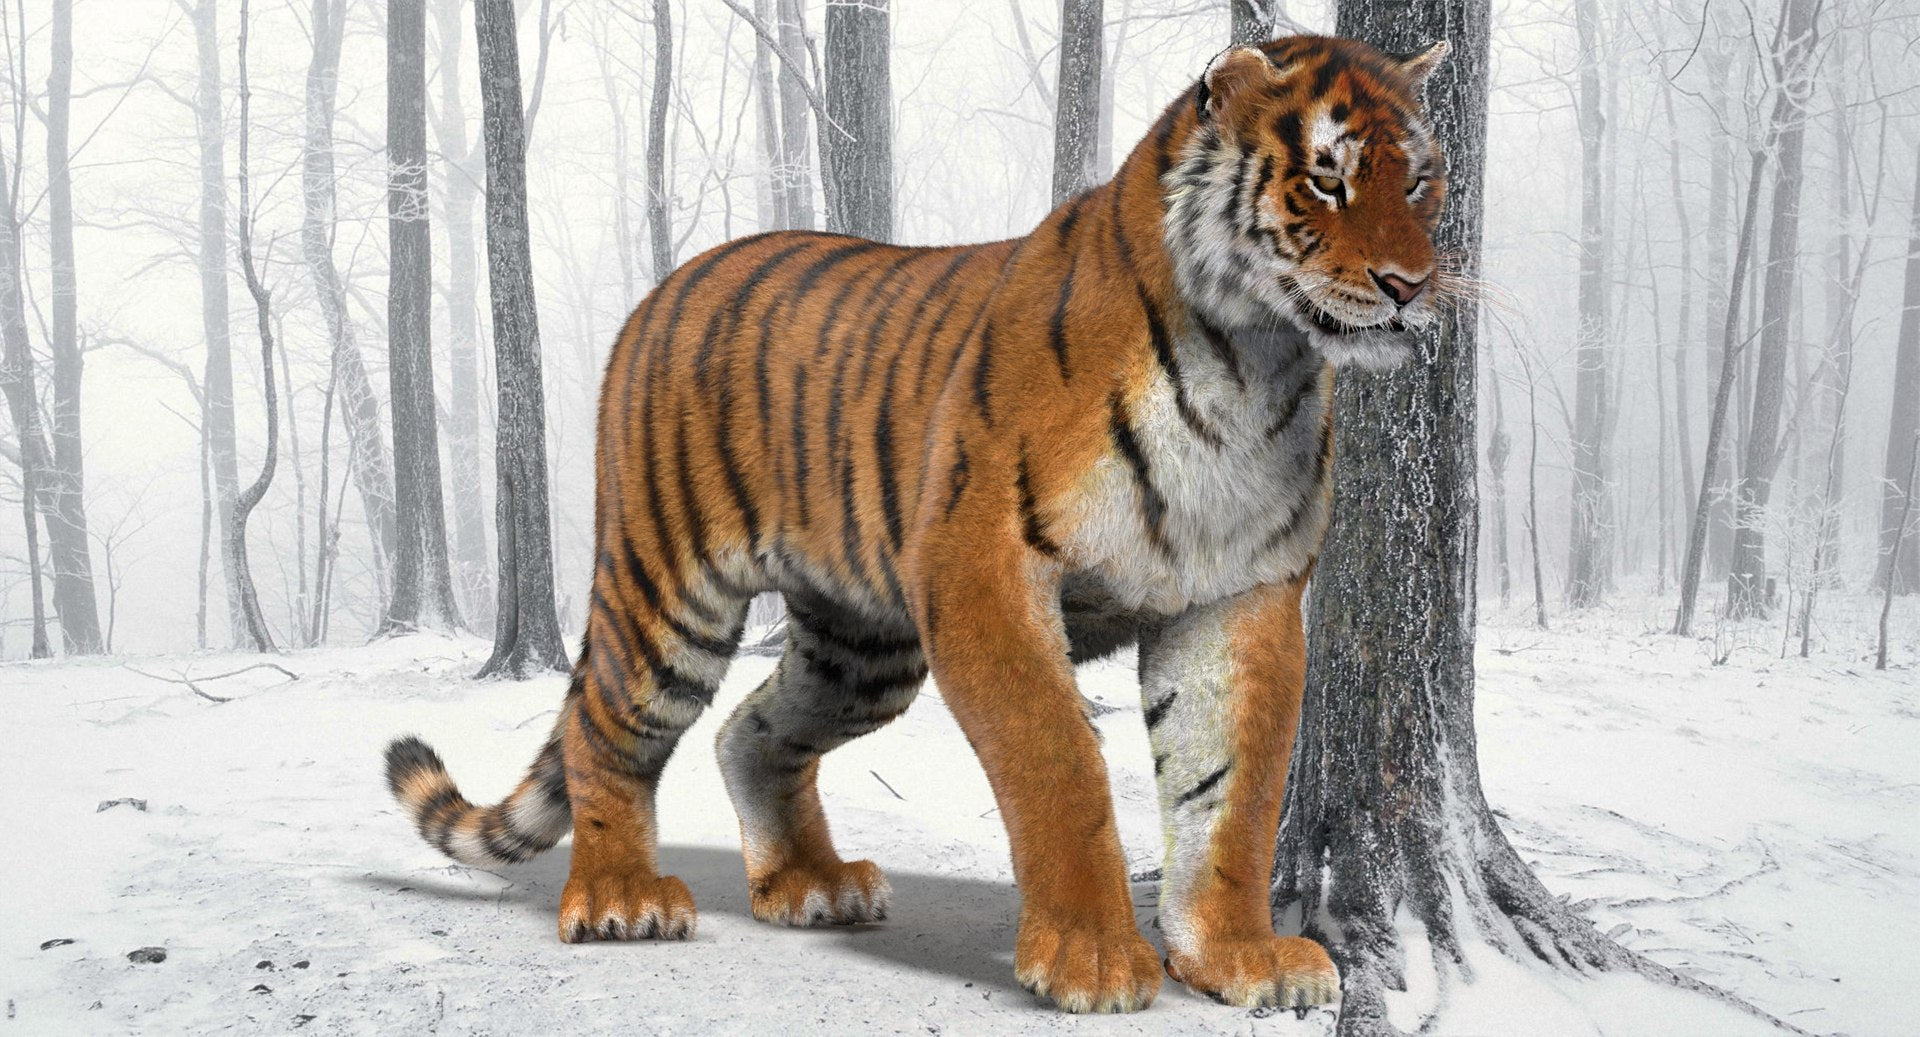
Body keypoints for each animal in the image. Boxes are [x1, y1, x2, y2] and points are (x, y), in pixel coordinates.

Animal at [385, 35, 1451, 1014]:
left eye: (1422, 181)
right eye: (1326, 179)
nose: (1410, 285)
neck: (1251, 361)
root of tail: (661, 290)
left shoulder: (1240, 596)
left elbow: (1233, 792)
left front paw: (1239, 956)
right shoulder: (984, 570)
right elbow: (1057, 760)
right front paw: (1094, 960)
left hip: (861, 647)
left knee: (750, 731)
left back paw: (809, 885)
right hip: (668, 586)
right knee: (608, 727)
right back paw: (620, 900)